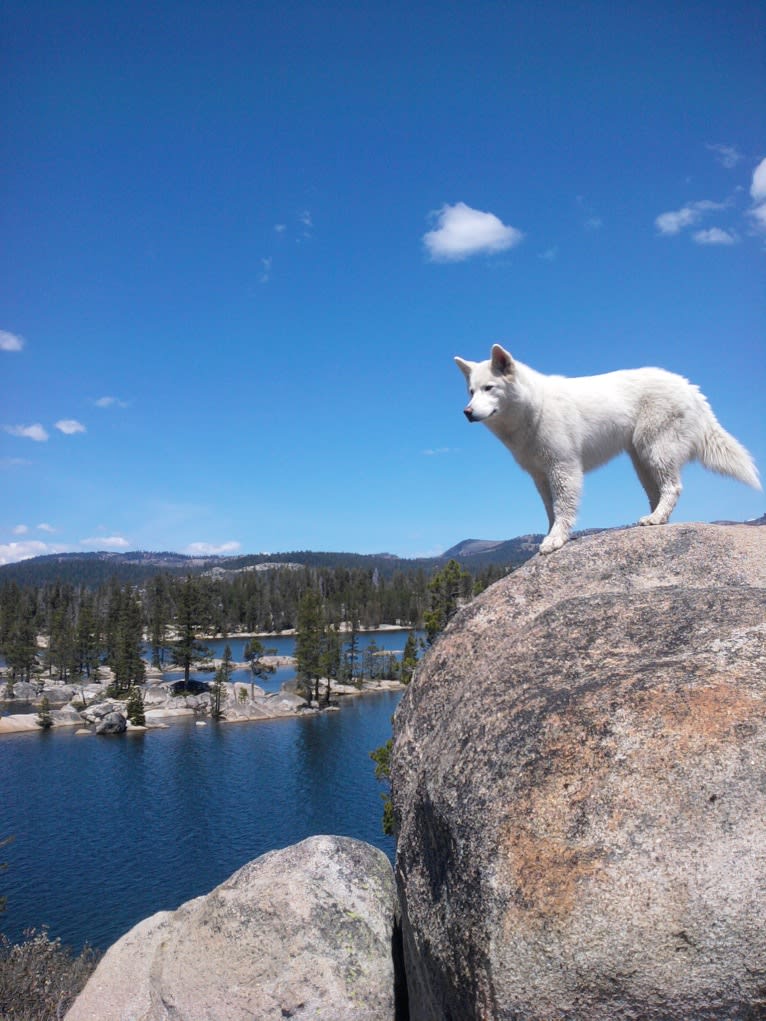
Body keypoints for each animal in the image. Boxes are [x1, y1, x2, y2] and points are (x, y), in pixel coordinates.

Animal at [455, 345, 763, 555]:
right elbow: (550, 510)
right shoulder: (540, 476)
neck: (534, 407)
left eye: (489, 387)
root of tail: (689, 387)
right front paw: (551, 535)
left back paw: (656, 518)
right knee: (659, 492)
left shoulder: (563, 468)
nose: (467, 412)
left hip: (656, 451)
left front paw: (555, 539)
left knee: (673, 487)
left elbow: (563, 508)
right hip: (641, 461)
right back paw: (657, 520)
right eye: (471, 391)